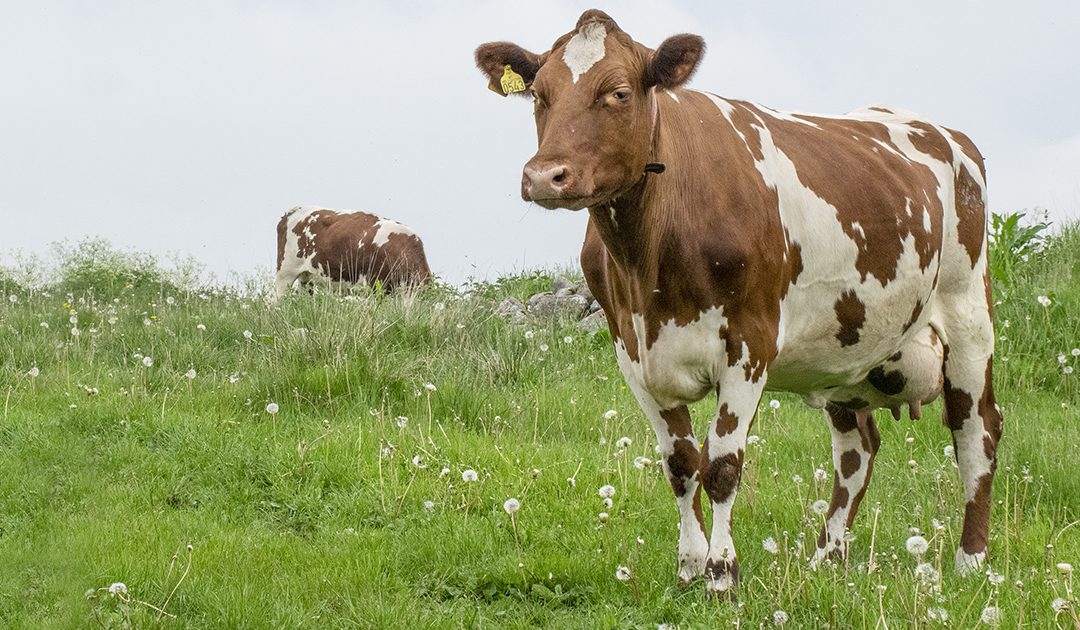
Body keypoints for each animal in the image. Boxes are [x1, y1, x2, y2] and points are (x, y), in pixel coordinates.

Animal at [477, 11, 997, 596]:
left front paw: (722, 573)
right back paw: (827, 556)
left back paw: (971, 562)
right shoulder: (632, 352)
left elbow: (722, 465)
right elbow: (681, 464)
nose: (545, 175)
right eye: (540, 95)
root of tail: (947, 134)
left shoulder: (750, 342)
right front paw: (688, 565)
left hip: (968, 317)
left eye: (618, 92)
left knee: (977, 435)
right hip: (849, 347)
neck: (647, 265)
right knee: (857, 449)